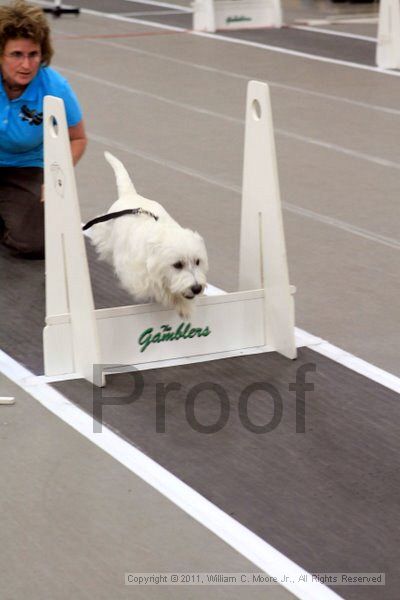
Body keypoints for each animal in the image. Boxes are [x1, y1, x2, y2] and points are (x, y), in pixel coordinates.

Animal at [86, 152, 208, 318]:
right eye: (177, 264)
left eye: (197, 261)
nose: (197, 288)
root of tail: (130, 195)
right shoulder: (136, 275)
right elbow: (155, 286)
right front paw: (176, 301)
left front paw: (185, 305)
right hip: (106, 234)